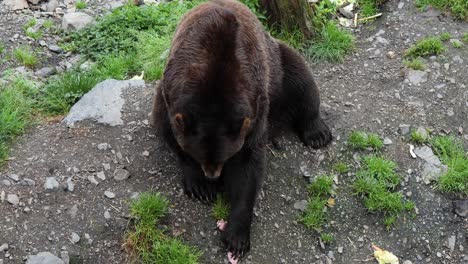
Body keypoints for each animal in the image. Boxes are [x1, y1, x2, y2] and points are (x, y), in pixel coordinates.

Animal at [152, 0, 330, 258]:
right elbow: (171, 134)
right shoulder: (169, 98)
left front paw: (236, 237)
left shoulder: (254, 111)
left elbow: (248, 169)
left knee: (301, 79)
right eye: (201, 157)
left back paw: (317, 133)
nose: (213, 175)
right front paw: (199, 185)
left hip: (278, 63)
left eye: (225, 157)